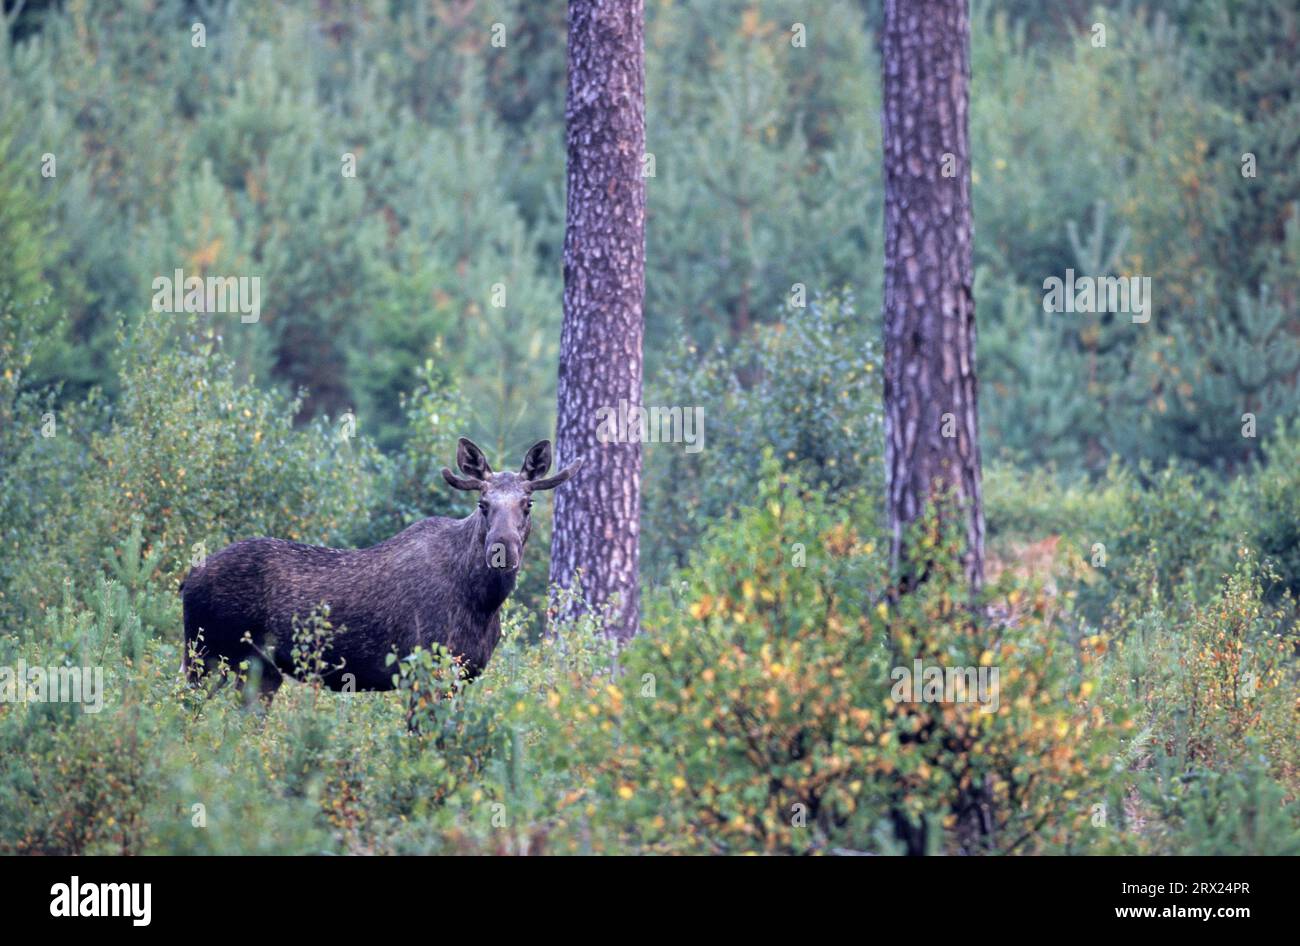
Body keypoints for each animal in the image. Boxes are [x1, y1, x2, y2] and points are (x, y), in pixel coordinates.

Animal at [176, 439, 579, 696]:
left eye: (528, 503)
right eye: (483, 504)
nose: (502, 547)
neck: (483, 603)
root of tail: (186, 579)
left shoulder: (466, 675)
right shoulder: (422, 668)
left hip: (260, 671)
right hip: (203, 655)